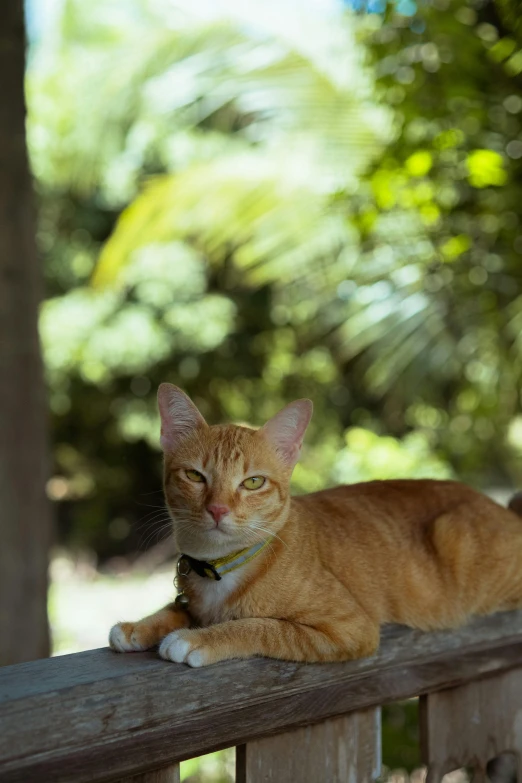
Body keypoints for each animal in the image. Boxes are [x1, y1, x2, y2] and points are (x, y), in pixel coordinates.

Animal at [108, 382, 520, 664]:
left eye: (253, 482)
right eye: (195, 476)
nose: (218, 509)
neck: (222, 567)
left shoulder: (350, 628)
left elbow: (261, 626)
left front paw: (197, 639)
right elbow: (175, 609)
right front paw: (139, 626)